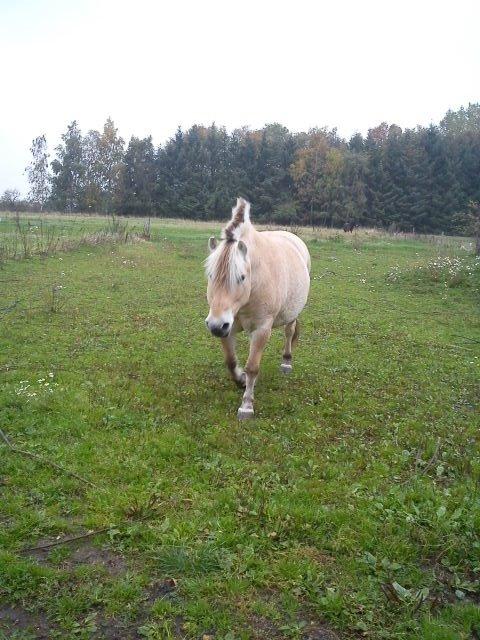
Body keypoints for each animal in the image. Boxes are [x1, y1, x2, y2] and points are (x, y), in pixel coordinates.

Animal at [203, 198, 310, 422]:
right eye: (210, 275)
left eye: (242, 277)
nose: (215, 326)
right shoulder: (228, 327)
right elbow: (230, 361)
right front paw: (241, 380)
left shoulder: (261, 329)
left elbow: (253, 367)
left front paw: (246, 405)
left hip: (291, 315)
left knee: (289, 332)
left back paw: (286, 362)